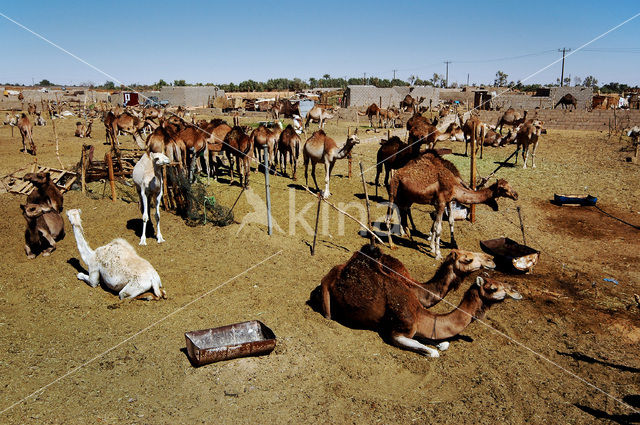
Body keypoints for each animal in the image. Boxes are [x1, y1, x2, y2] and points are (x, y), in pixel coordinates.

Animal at [384, 152, 520, 258]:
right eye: (504, 189)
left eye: (510, 185)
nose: (516, 195)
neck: (454, 185)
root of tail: (396, 173)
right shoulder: (440, 202)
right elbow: (438, 228)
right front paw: (437, 253)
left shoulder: (447, 202)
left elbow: (448, 221)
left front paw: (435, 246)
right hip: (393, 192)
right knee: (388, 218)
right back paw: (392, 245)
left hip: (406, 197)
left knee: (403, 214)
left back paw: (410, 239)